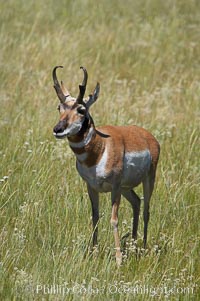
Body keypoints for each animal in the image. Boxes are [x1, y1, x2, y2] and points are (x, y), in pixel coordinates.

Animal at [52, 65, 160, 262]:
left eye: (81, 110)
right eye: (59, 107)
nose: (58, 129)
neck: (100, 149)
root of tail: (147, 136)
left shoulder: (114, 187)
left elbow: (114, 219)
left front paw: (118, 259)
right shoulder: (92, 187)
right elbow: (95, 217)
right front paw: (94, 254)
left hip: (148, 180)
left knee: (146, 210)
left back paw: (142, 247)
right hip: (126, 188)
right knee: (136, 202)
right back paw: (133, 245)